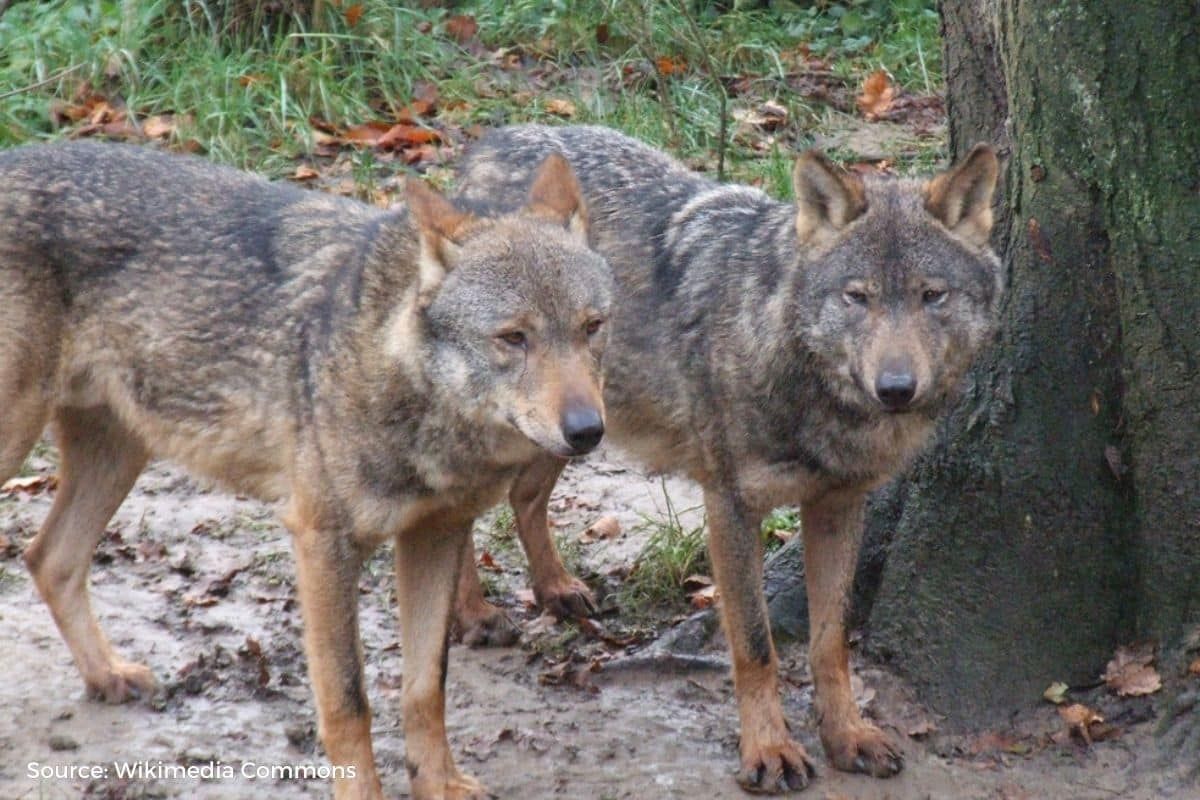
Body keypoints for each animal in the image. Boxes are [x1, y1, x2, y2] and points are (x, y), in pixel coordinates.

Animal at [0, 141, 612, 800]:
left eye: (592, 327)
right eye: (514, 337)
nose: (587, 430)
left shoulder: (435, 534)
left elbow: (426, 688)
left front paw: (439, 785)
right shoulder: (322, 544)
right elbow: (349, 703)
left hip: (119, 455)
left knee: (49, 558)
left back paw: (107, 674)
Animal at [453, 125, 1000, 793]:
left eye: (931, 296)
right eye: (858, 298)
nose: (896, 388)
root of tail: (492, 140)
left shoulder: (839, 505)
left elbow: (830, 641)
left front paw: (847, 735)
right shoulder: (732, 507)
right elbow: (757, 645)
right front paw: (769, 750)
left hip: (574, 429)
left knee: (524, 497)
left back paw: (557, 589)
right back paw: (473, 615)